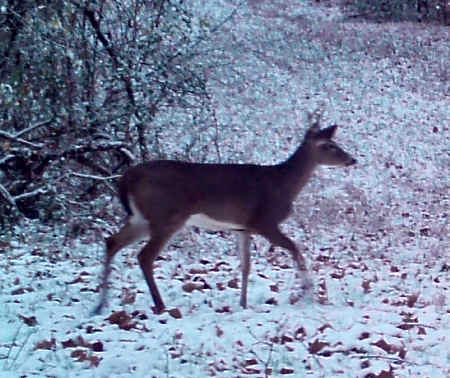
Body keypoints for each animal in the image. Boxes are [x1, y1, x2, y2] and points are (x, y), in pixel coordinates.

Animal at [93, 110, 356, 314]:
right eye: (328, 146)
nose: (351, 160)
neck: (283, 185)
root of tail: (127, 178)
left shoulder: (243, 228)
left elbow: (246, 266)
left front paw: (243, 303)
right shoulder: (264, 221)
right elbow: (294, 248)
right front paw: (309, 293)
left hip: (141, 218)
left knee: (112, 242)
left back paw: (100, 305)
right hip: (166, 216)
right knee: (144, 255)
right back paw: (159, 305)